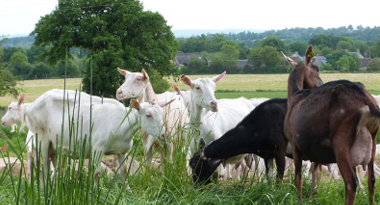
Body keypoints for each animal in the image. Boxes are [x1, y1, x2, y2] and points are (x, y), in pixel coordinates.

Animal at [284, 45, 378, 204]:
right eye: (317, 70)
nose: (320, 84)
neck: (294, 97)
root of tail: (367, 101)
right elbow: (314, 173)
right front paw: (312, 195)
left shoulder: (295, 142)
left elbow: (298, 179)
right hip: (372, 139)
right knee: (371, 180)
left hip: (341, 141)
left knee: (351, 183)